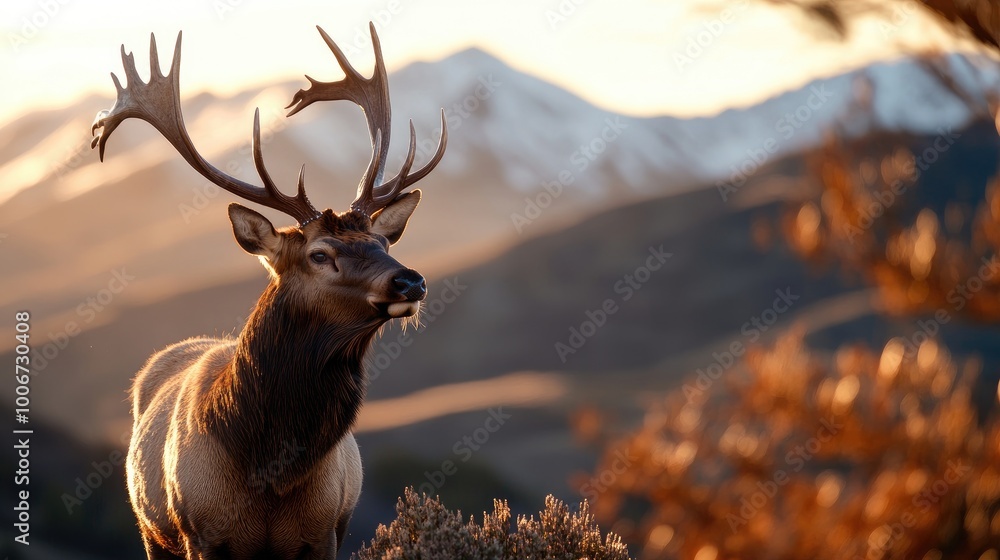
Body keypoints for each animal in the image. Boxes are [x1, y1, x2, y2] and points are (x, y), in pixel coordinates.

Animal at [90, 23, 446, 560]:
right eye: (319, 254)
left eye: (384, 241)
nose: (411, 280)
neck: (269, 472)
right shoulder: (199, 531)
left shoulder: (325, 530)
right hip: (152, 530)